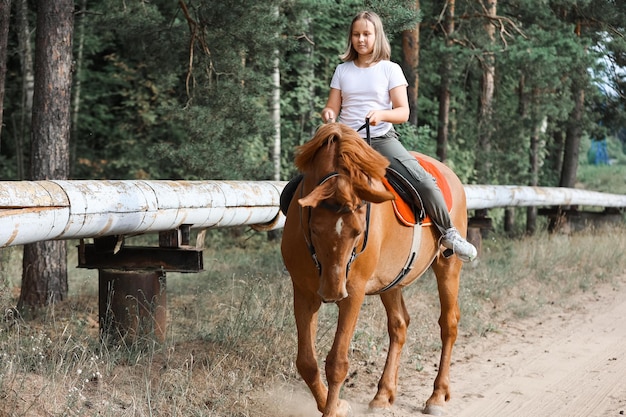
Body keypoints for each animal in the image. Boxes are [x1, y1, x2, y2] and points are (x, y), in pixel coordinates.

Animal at [280, 123, 466, 416]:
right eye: (314, 229)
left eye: (358, 231)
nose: (332, 292)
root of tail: (447, 172)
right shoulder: (304, 292)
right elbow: (306, 362)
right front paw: (334, 404)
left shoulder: (354, 292)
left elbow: (337, 362)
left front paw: (333, 409)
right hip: (392, 281)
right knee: (399, 325)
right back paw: (383, 394)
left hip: (448, 266)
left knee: (449, 323)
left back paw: (436, 396)